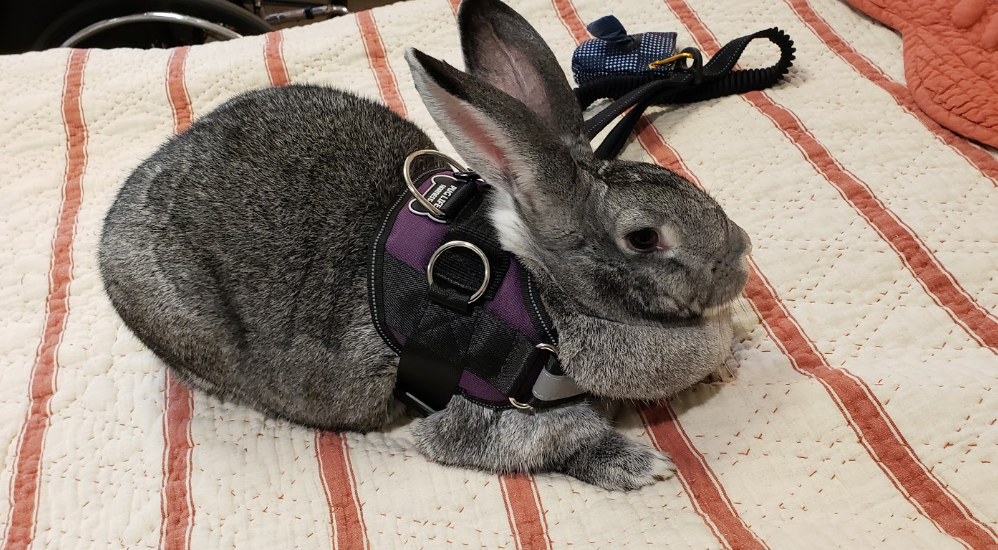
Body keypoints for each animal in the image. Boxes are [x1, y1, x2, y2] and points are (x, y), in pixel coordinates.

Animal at [98, 0, 751, 492]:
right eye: (644, 238)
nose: (742, 254)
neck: (540, 295)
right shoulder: (494, 422)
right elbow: (568, 443)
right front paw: (646, 467)